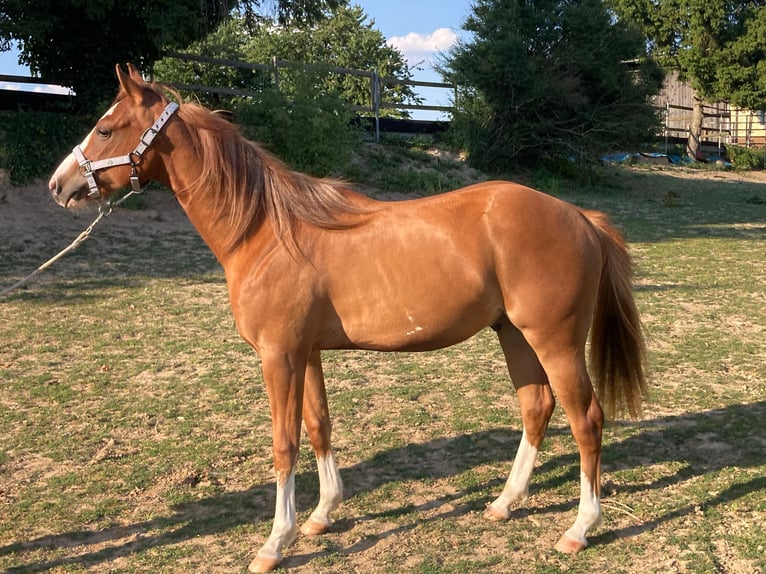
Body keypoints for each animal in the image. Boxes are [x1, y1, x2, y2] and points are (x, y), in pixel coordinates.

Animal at [48, 64, 647, 572]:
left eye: (105, 129)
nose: (59, 185)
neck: (266, 231)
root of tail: (579, 216)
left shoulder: (278, 357)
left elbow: (284, 444)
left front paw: (275, 542)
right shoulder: (305, 353)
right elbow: (318, 427)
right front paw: (320, 516)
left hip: (555, 342)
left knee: (586, 419)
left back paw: (580, 528)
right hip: (515, 336)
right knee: (537, 408)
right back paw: (504, 503)